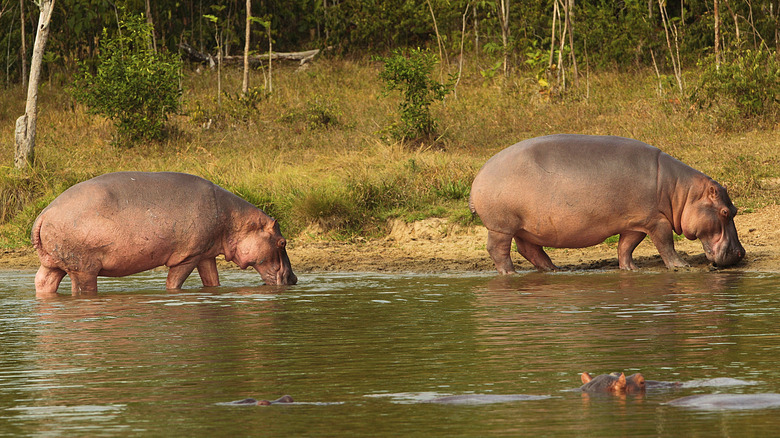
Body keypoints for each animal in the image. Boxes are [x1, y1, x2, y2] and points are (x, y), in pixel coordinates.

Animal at [32, 171, 298, 298]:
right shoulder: (188, 256)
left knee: (43, 282)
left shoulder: (206, 254)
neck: (235, 220)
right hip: (84, 268)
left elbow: (212, 280)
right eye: (282, 241)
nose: (294, 279)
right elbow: (174, 283)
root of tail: (44, 213)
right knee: (82, 289)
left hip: (53, 263)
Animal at [466, 134, 748, 274]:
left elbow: (626, 247)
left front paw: (631, 269)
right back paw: (510, 274)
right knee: (498, 250)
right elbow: (665, 244)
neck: (682, 192)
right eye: (725, 211)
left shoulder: (635, 222)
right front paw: (682, 266)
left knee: (530, 249)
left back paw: (553, 269)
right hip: (501, 226)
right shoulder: (656, 220)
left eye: (735, 210)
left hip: (526, 227)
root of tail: (479, 175)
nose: (741, 253)